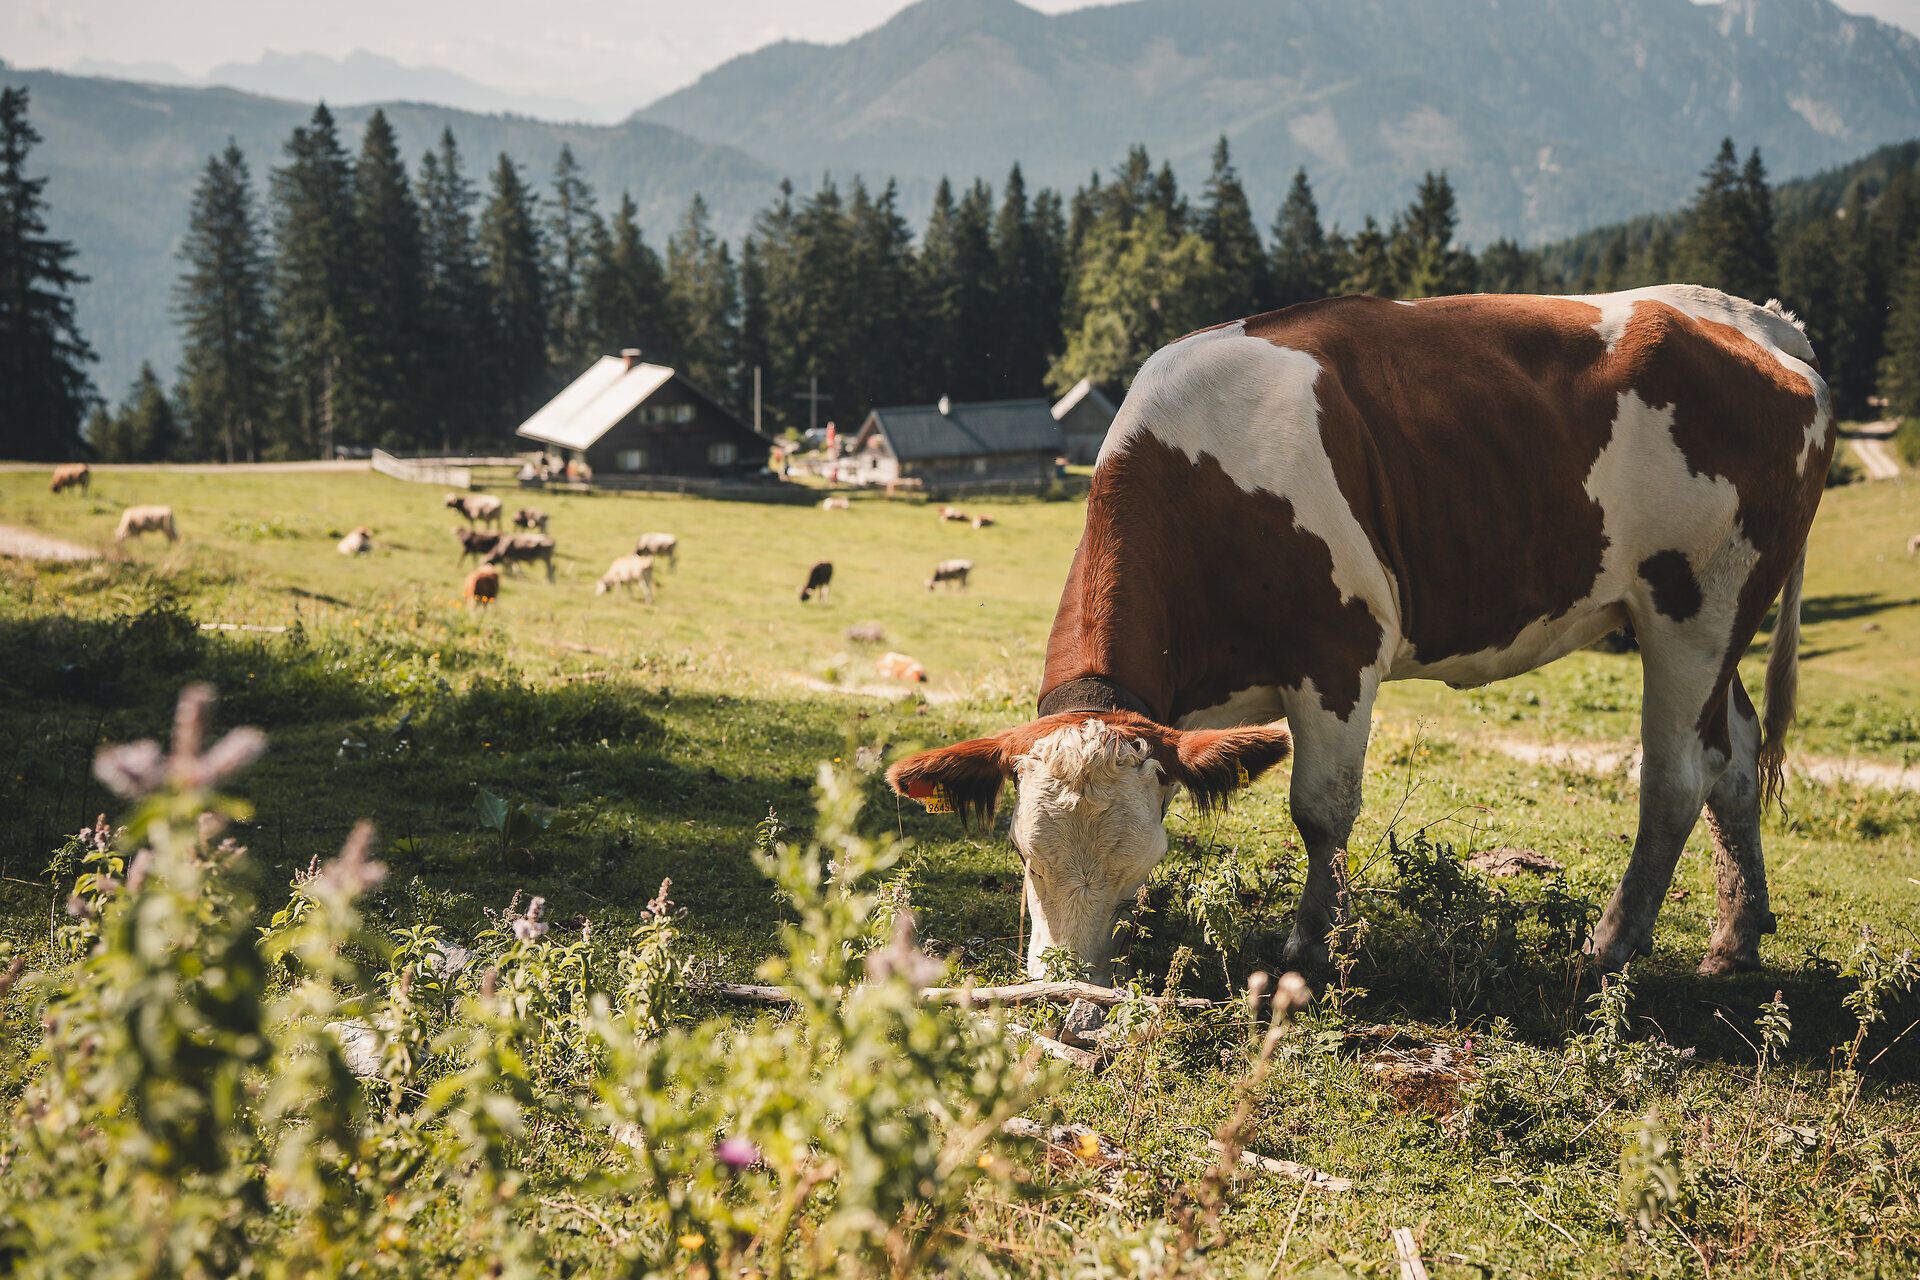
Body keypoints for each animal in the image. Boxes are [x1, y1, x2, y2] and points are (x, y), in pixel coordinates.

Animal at [887, 287, 1833, 983]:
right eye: (1021, 851)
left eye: (1141, 865)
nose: (1065, 991)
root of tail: (1752, 319)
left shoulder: (1338, 653)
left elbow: (1320, 809)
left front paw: (1313, 944)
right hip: (1713, 614)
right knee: (1734, 757)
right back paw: (1735, 938)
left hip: (1694, 604)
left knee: (1674, 777)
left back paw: (1612, 945)